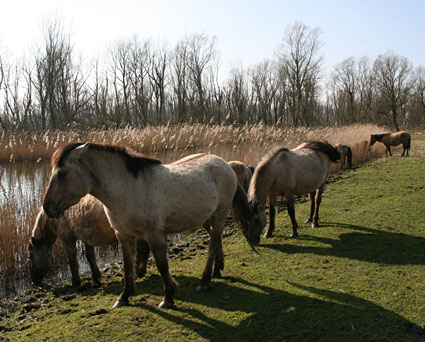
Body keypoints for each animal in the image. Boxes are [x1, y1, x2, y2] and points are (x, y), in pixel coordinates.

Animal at [42, 143, 255, 308]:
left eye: (62, 174)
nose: (47, 207)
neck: (128, 189)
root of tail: (225, 164)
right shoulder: (124, 235)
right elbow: (128, 266)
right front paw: (124, 297)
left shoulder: (154, 235)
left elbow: (161, 265)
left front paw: (168, 297)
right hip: (206, 217)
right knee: (215, 239)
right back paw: (217, 270)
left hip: (219, 214)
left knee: (213, 243)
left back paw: (204, 281)